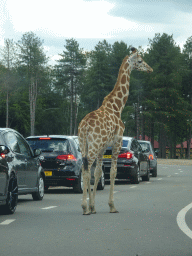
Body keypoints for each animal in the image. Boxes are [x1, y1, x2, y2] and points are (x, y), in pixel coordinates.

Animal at [78, 47, 153, 214]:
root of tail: (85, 126)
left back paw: (87, 207)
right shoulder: (117, 141)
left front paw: (94, 206)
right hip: (93, 146)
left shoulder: (103, 147)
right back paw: (84, 207)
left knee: (85, 169)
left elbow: (98, 173)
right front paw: (112, 205)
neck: (117, 107)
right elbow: (112, 172)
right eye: (140, 60)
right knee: (86, 169)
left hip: (83, 144)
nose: (150, 69)